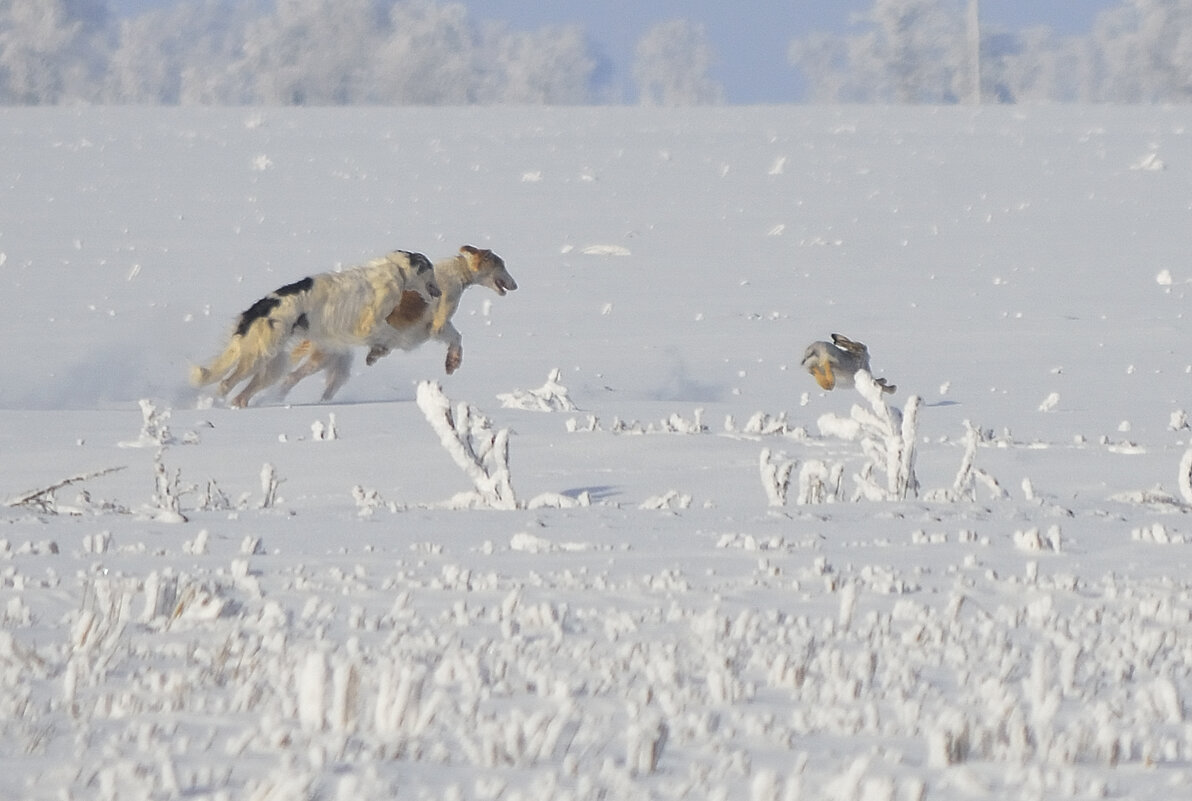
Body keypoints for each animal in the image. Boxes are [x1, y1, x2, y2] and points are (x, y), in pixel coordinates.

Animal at [189, 249, 438, 407]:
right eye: (431, 270)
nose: (439, 292)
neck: (396, 269)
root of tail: (256, 311)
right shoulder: (368, 324)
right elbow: (389, 334)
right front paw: (380, 351)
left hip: (273, 364)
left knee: (242, 393)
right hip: (257, 357)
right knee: (225, 383)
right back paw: (212, 405)